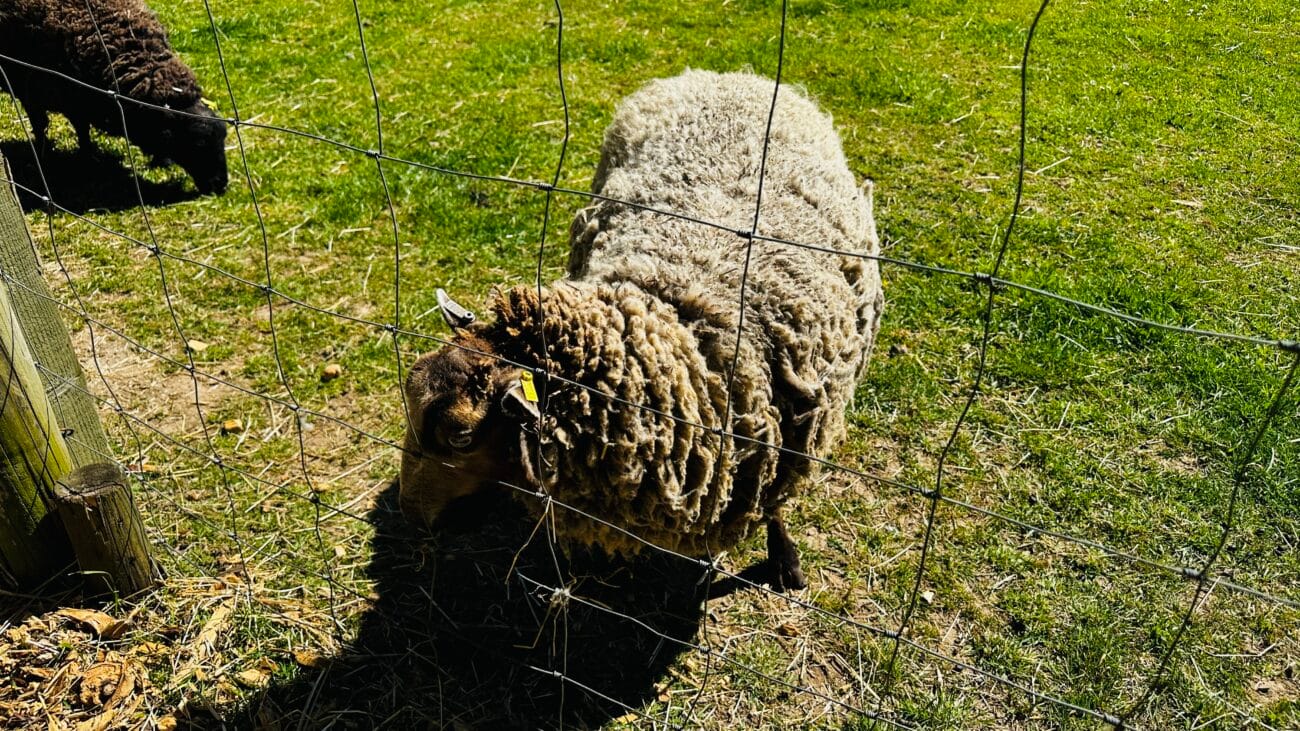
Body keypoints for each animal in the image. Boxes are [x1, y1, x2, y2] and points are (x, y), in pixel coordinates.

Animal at [0, 0, 228, 194]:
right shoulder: (32, 89)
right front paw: (46, 154)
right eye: (198, 144)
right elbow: (43, 124)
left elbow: (81, 127)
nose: (221, 185)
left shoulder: (78, 98)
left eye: (223, 138)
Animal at [400, 70, 883, 591]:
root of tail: (724, 75)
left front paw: (786, 563)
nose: (410, 516)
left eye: (461, 438)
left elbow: (773, 512)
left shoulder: (787, 448)